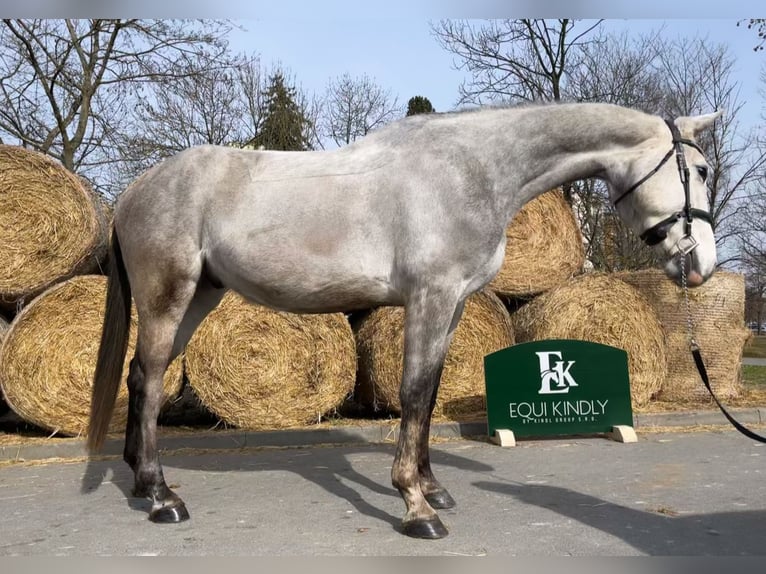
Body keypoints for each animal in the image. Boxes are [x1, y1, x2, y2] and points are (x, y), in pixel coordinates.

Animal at [87, 102, 721, 539]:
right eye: (701, 169)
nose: (702, 266)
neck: (470, 171)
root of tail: (136, 189)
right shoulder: (431, 298)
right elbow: (414, 393)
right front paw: (416, 507)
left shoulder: (454, 303)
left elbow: (431, 392)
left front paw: (433, 489)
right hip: (169, 298)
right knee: (149, 382)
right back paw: (163, 498)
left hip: (198, 298)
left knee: (141, 377)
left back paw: (143, 480)